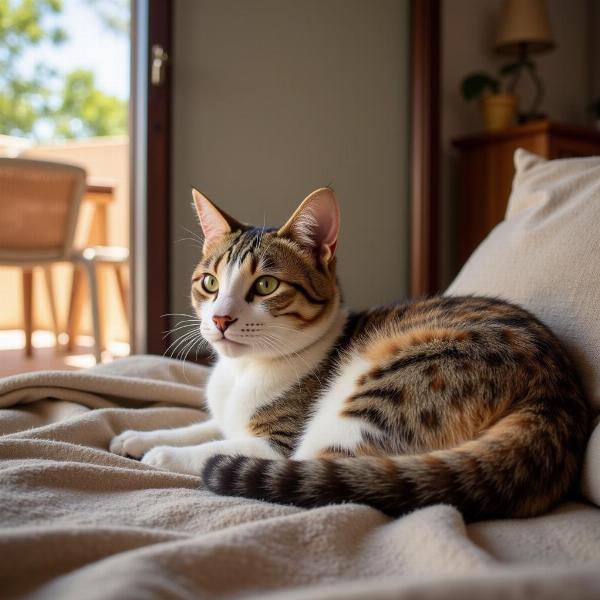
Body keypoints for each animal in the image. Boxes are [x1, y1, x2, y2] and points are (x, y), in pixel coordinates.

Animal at [110, 186, 588, 520]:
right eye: (209, 283)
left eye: (265, 285)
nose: (221, 318)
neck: (243, 371)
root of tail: (557, 393)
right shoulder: (226, 417)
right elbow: (200, 427)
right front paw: (137, 437)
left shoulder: (277, 441)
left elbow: (213, 446)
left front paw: (161, 454)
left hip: (380, 392)